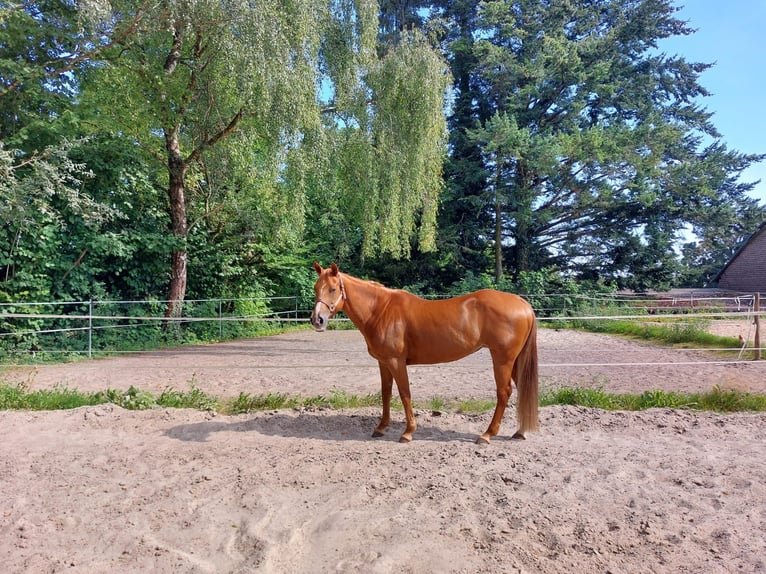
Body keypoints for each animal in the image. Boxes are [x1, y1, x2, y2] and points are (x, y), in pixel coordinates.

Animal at [310, 262, 539, 444]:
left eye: (332, 289)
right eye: (316, 288)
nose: (317, 320)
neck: (380, 310)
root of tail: (522, 303)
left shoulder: (396, 361)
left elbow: (405, 394)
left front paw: (408, 432)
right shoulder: (384, 362)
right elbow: (386, 393)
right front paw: (381, 428)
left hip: (502, 359)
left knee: (504, 392)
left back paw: (487, 435)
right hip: (515, 361)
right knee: (521, 388)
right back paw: (521, 432)